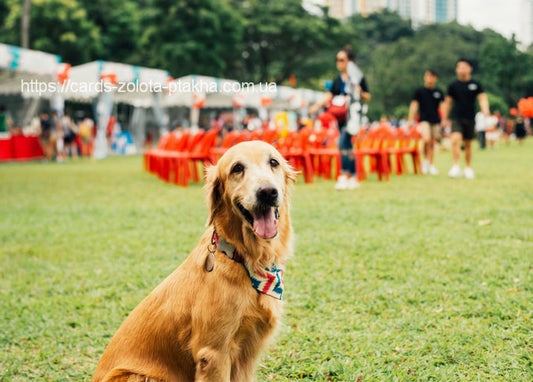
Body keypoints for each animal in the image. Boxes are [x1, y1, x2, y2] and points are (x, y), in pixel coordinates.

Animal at [93, 141, 298, 382]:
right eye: (237, 168)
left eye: (273, 162)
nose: (267, 192)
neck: (243, 259)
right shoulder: (214, 353)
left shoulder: (247, 354)